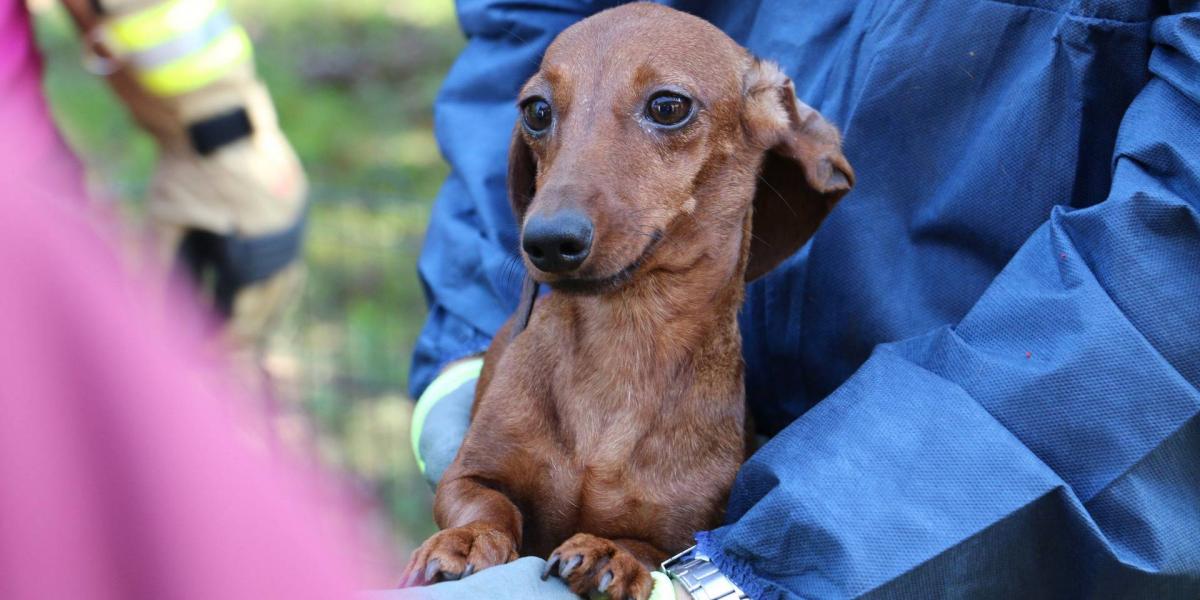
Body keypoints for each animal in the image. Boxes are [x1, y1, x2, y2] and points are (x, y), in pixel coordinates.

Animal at [403, 3, 854, 595]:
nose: (548, 241)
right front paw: (469, 539)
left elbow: (645, 549)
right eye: (536, 111)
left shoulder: (677, 536)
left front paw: (609, 554)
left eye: (668, 106)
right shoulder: (468, 474)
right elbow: (484, 503)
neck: (623, 341)